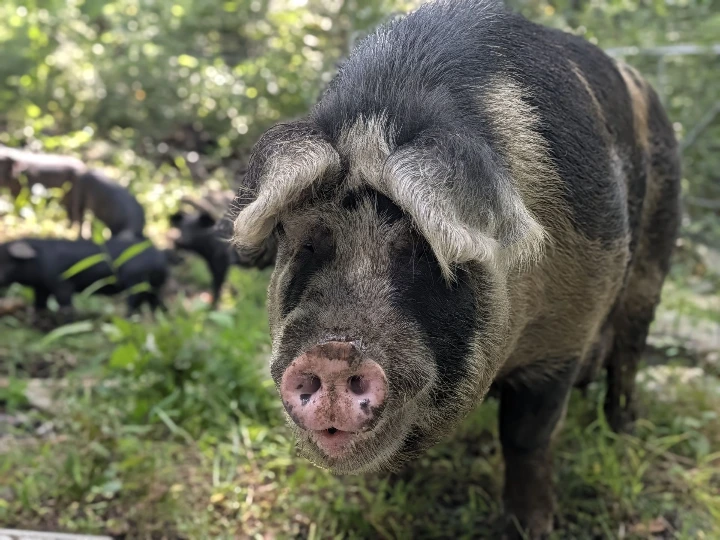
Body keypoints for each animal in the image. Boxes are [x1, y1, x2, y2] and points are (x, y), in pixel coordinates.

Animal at [0, 237, 167, 314]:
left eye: (5, 259)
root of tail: (160, 258)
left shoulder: (61, 282)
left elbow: (64, 301)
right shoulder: (41, 287)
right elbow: (39, 303)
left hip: (135, 281)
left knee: (134, 301)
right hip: (154, 286)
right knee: (156, 302)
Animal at [221, 0, 681, 537]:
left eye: (421, 251)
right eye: (309, 244)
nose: (334, 350)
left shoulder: (566, 330)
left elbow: (527, 438)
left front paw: (531, 527)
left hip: (654, 255)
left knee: (631, 346)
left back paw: (623, 428)